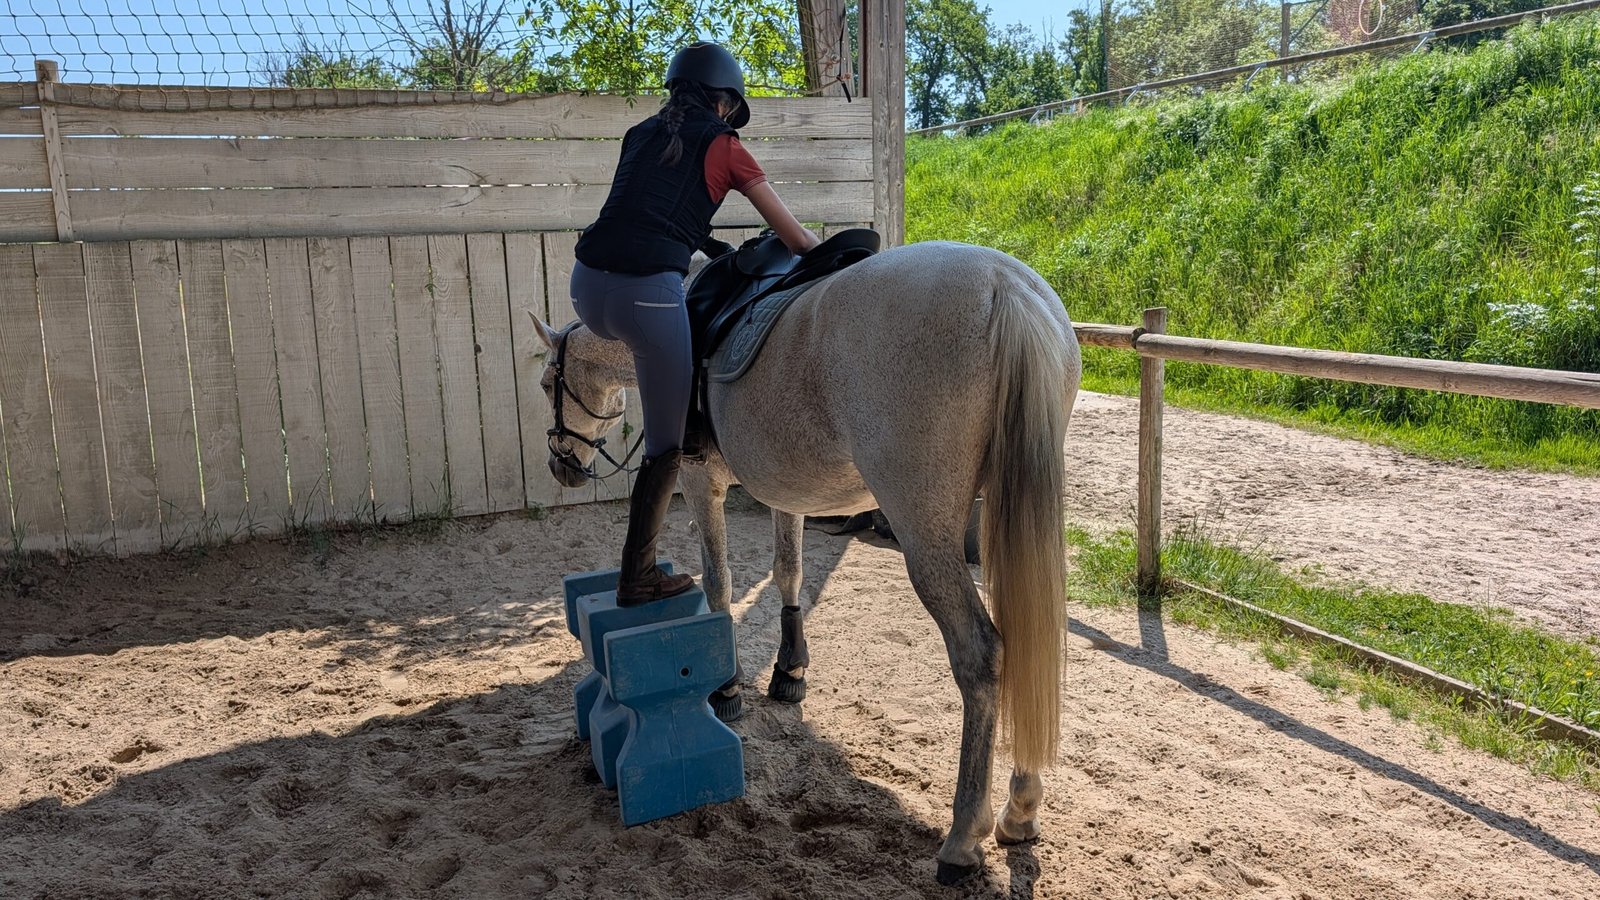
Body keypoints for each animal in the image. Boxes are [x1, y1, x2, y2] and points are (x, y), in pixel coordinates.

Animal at [529, 240, 1081, 884]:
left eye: (547, 382)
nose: (560, 464)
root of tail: (1004, 285)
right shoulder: (787, 493)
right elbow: (788, 571)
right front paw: (789, 670)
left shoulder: (697, 480)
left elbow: (720, 581)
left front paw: (729, 687)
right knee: (1027, 634)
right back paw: (1021, 809)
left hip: (927, 534)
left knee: (982, 654)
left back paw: (964, 836)